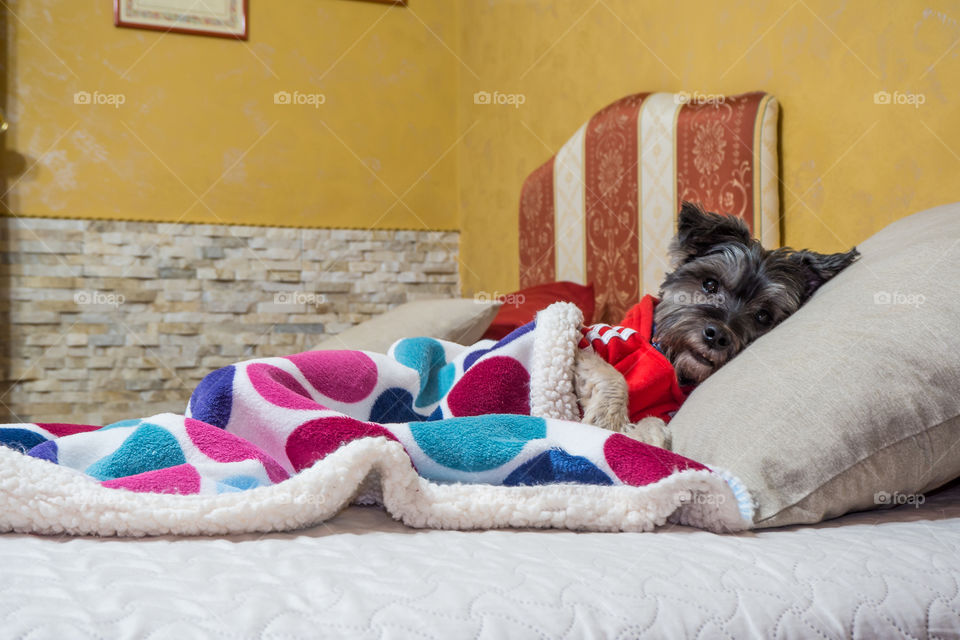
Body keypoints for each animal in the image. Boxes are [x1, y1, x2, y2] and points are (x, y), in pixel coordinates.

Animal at [572, 202, 860, 448]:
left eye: (763, 316)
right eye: (710, 284)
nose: (717, 336)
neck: (669, 360)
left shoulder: (662, 409)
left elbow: (652, 421)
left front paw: (643, 436)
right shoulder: (584, 338)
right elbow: (609, 370)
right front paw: (608, 418)